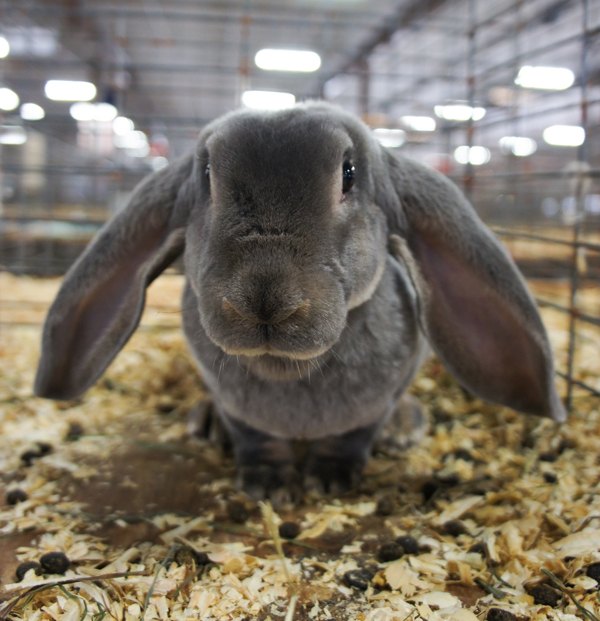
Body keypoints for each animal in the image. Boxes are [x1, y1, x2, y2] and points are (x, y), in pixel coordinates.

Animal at [34, 101, 568, 498]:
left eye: (348, 174)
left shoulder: (377, 401)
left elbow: (354, 438)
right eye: (206, 174)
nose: (264, 301)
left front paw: (331, 480)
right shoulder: (238, 406)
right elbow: (256, 438)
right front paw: (269, 486)